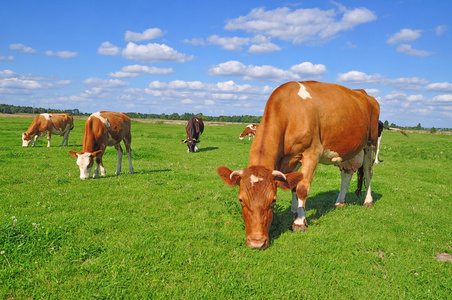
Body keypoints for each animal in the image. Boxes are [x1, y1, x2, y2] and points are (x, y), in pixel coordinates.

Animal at [217, 80, 380, 248]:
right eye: (240, 200)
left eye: (273, 200)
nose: (256, 242)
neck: (289, 111)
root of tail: (363, 93)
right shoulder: (290, 158)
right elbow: (293, 185)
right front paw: (294, 210)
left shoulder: (311, 153)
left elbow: (302, 188)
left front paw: (299, 222)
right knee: (346, 174)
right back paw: (339, 202)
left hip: (371, 142)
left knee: (368, 172)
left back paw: (368, 201)